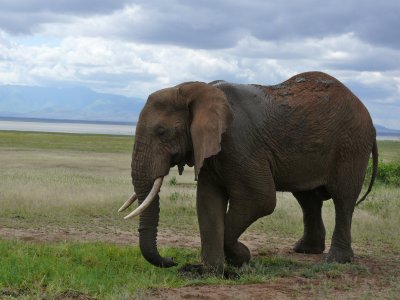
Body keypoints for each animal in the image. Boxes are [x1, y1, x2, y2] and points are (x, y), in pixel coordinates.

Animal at [118, 71, 378, 274]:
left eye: (161, 132)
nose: (172, 260)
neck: (197, 90)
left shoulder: (240, 143)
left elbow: (259, 199)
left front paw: (241, 258)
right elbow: (207, 202)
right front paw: (209, 271)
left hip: (352, 145)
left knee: (343, 198)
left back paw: (336, 260)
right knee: (308, 199)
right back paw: (305, 250)